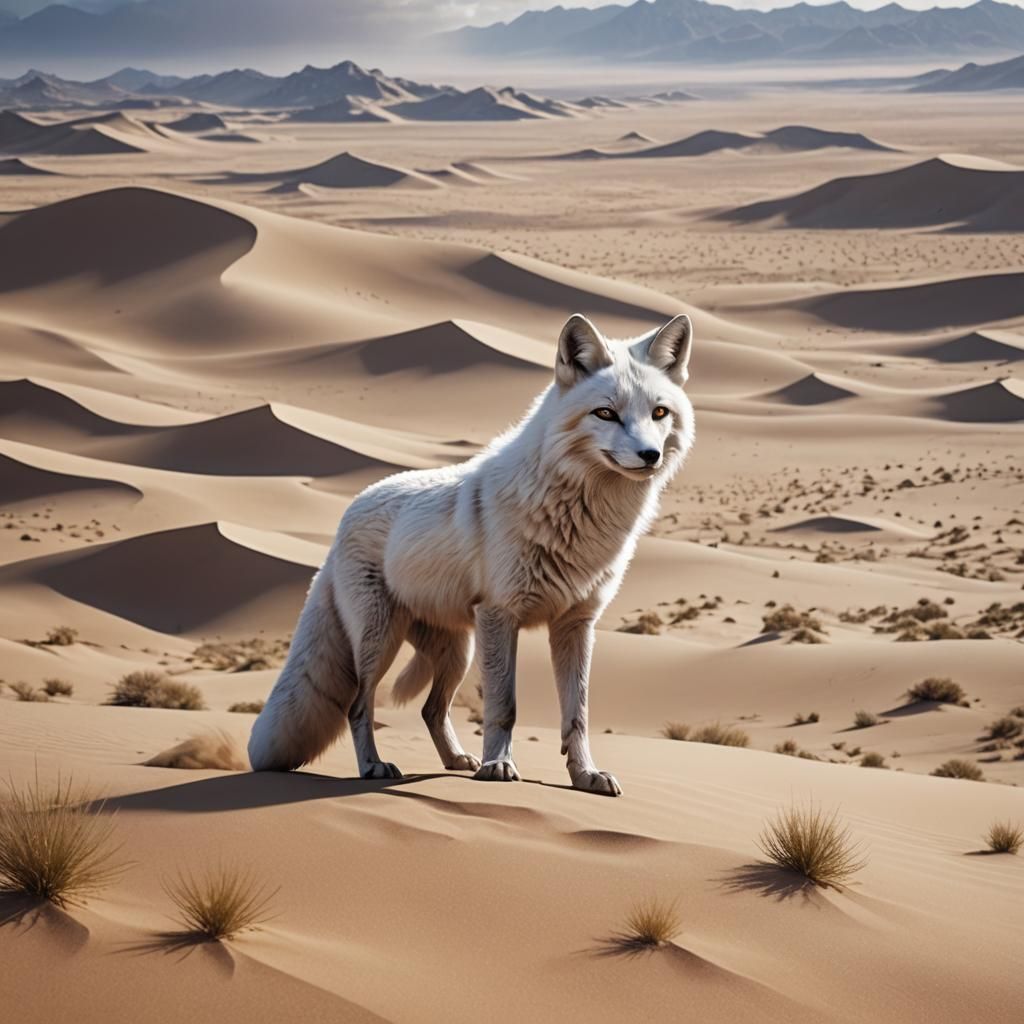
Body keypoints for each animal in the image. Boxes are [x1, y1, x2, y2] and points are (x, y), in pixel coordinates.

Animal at [248, 312, 695, 796]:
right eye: (606, 413)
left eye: (659, 412)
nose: (650, 455)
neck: (578, 513)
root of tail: (348, 513)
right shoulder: (501, 615)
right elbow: (504, 707)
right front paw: (498, 766)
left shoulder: (575, 624)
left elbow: (577, 715)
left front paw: (585, 776)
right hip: (382, 641)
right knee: (358, 706)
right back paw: (375, 766)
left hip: (457, 652)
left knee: (430, 709)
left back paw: (455, 760)